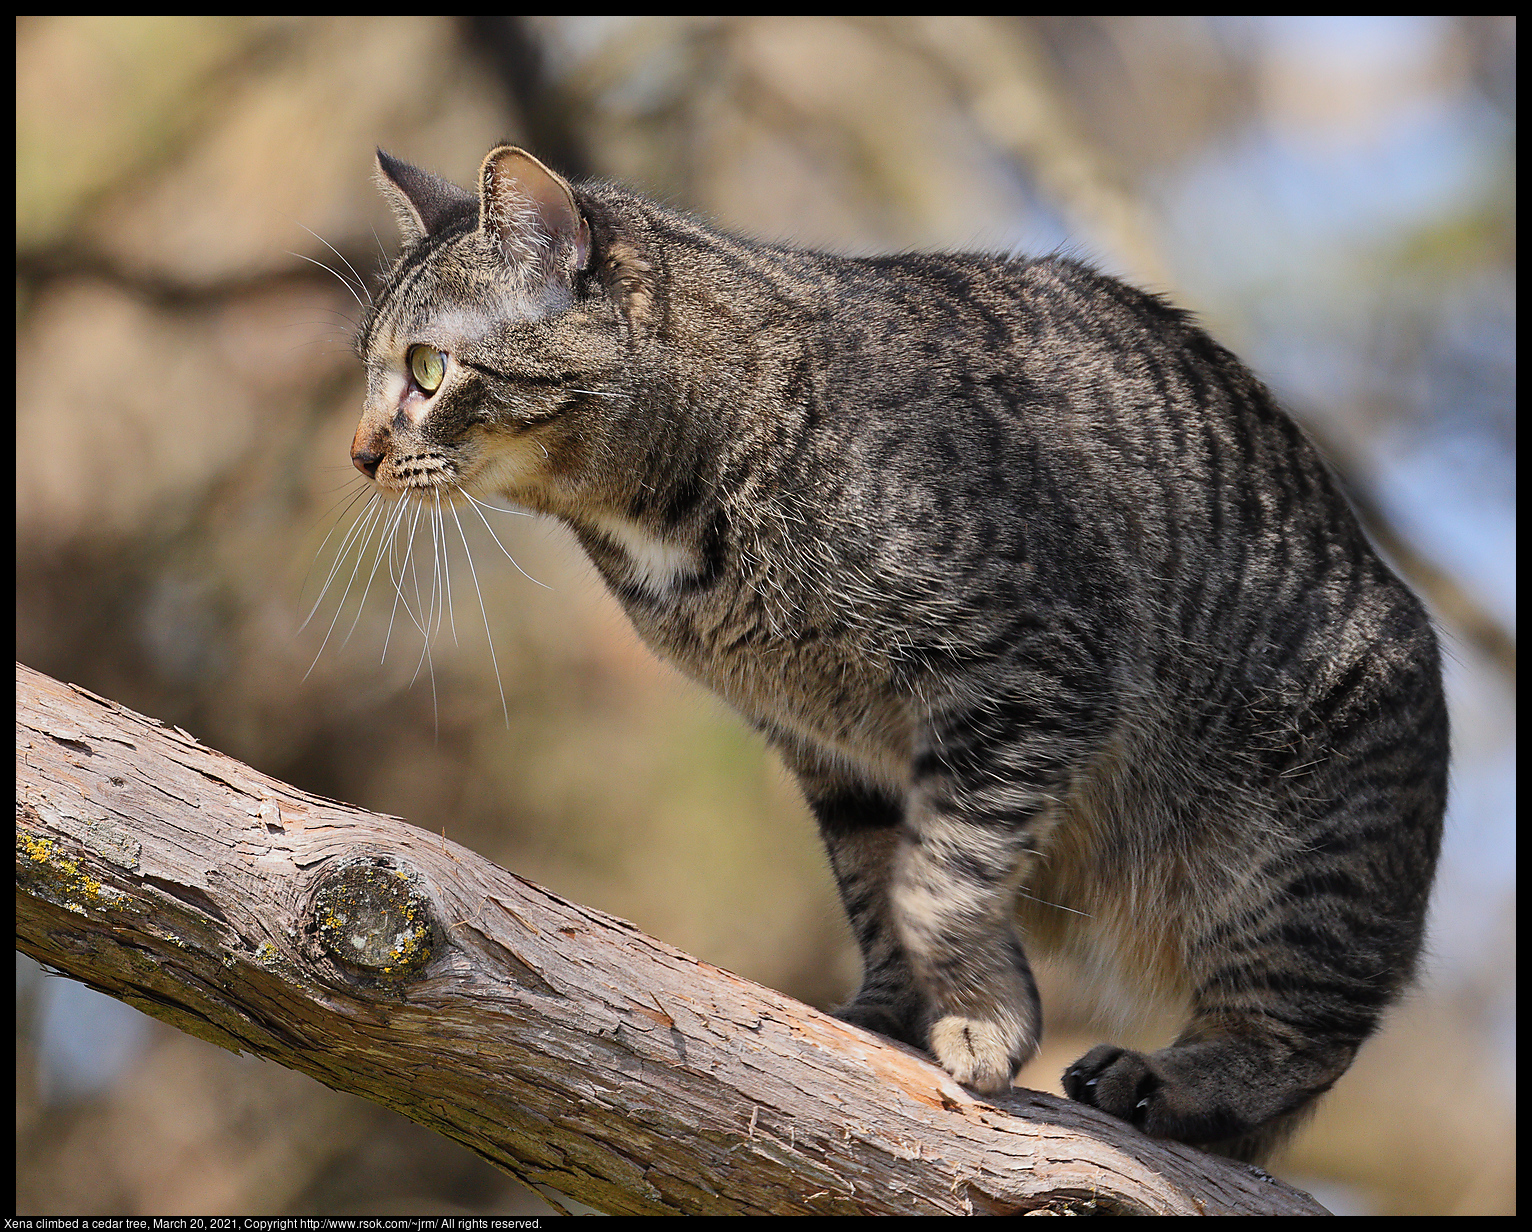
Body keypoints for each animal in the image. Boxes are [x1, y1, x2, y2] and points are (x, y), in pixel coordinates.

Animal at [344, 147, 1446, 1164]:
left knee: (1300, 1039)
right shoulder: (827, 744)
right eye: (366, 366)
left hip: (1297, 846)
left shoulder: (1028, 672)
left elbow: (937, 880)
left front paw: (986, 1013)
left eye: (428, 370)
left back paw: (1177, 1079)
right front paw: (887, 1015)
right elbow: (877, 883)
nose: (358, 453)